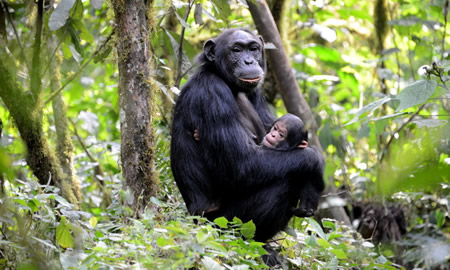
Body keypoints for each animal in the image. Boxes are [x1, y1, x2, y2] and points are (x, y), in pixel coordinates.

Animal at [170, 28, 324, 242]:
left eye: (253, 49)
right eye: (236, 50)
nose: (249, 61)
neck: (227, 82)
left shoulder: (255, 92)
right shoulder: (213, 93)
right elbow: (241, 164)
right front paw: (315, 162)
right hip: (221, 224)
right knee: (287, 178)